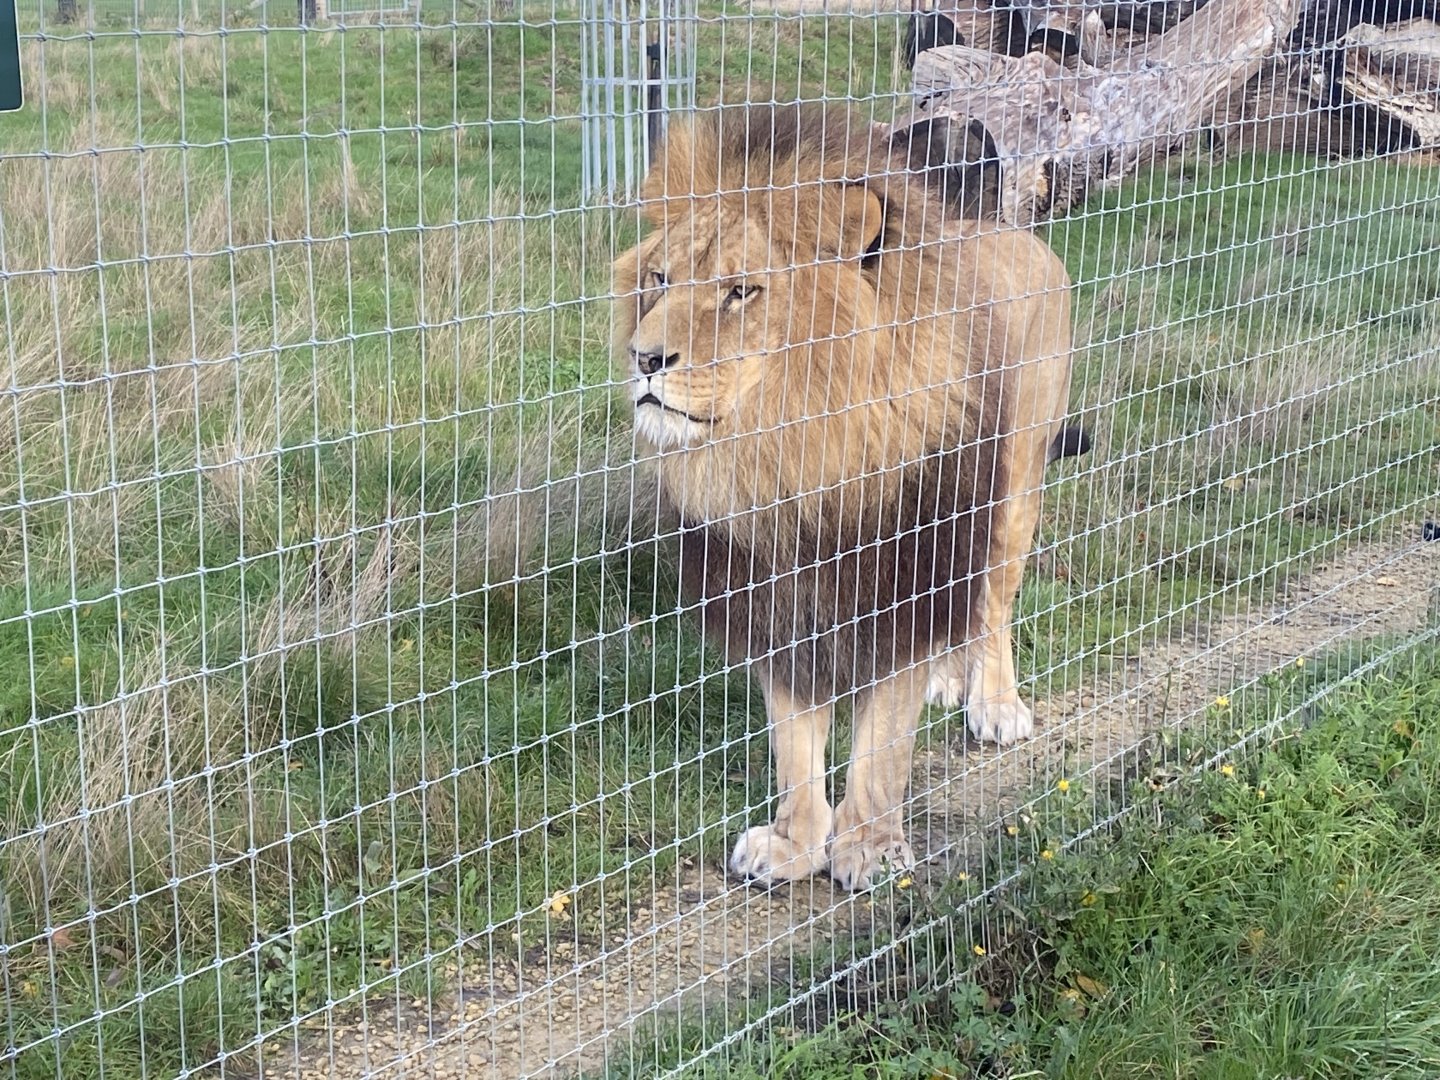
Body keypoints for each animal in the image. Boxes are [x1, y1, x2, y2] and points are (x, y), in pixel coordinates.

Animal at [612, 102, 1076, 890]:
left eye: (741, 291)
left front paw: (867, 846)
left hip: (1014, 491)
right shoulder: (775, 599)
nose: (644, 358)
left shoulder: (900, 579)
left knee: (992, 606)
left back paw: (994, 702)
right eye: (658, 278)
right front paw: (794, 843)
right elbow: (794, 741)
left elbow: (881, 739)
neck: (790, 461)